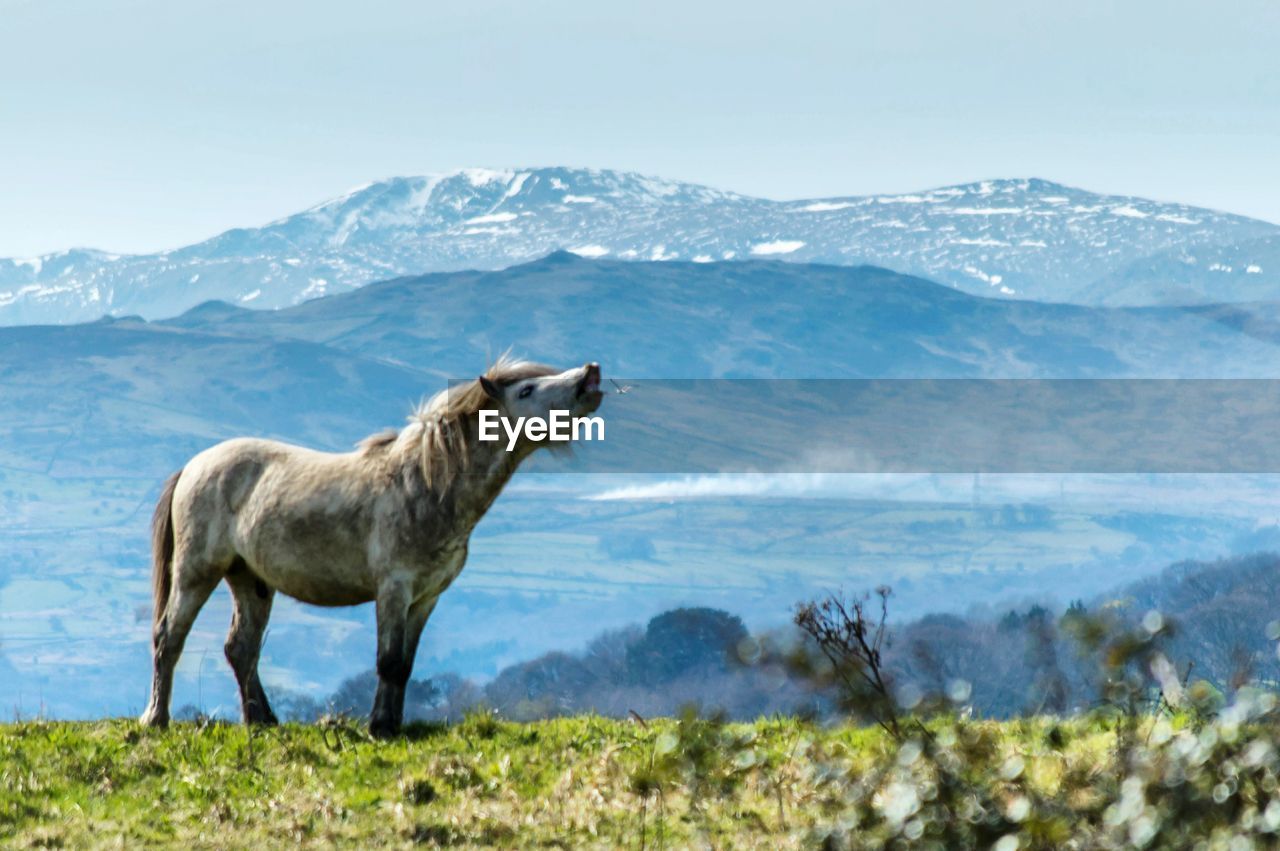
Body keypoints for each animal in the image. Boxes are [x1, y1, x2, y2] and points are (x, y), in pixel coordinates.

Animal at [142, 355, 601, 731]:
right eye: (526, 390)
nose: (590, 376)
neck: (428, 485)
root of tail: (193, 466)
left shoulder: (426, 597)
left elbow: (404, 666)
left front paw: (393, 723)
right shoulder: (394, 588)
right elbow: (388, 660)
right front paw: (379, 726)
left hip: (249, 579)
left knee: (241, 649)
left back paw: (262, 720)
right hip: (197, 571)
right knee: (169, 637)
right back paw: (157, 719)